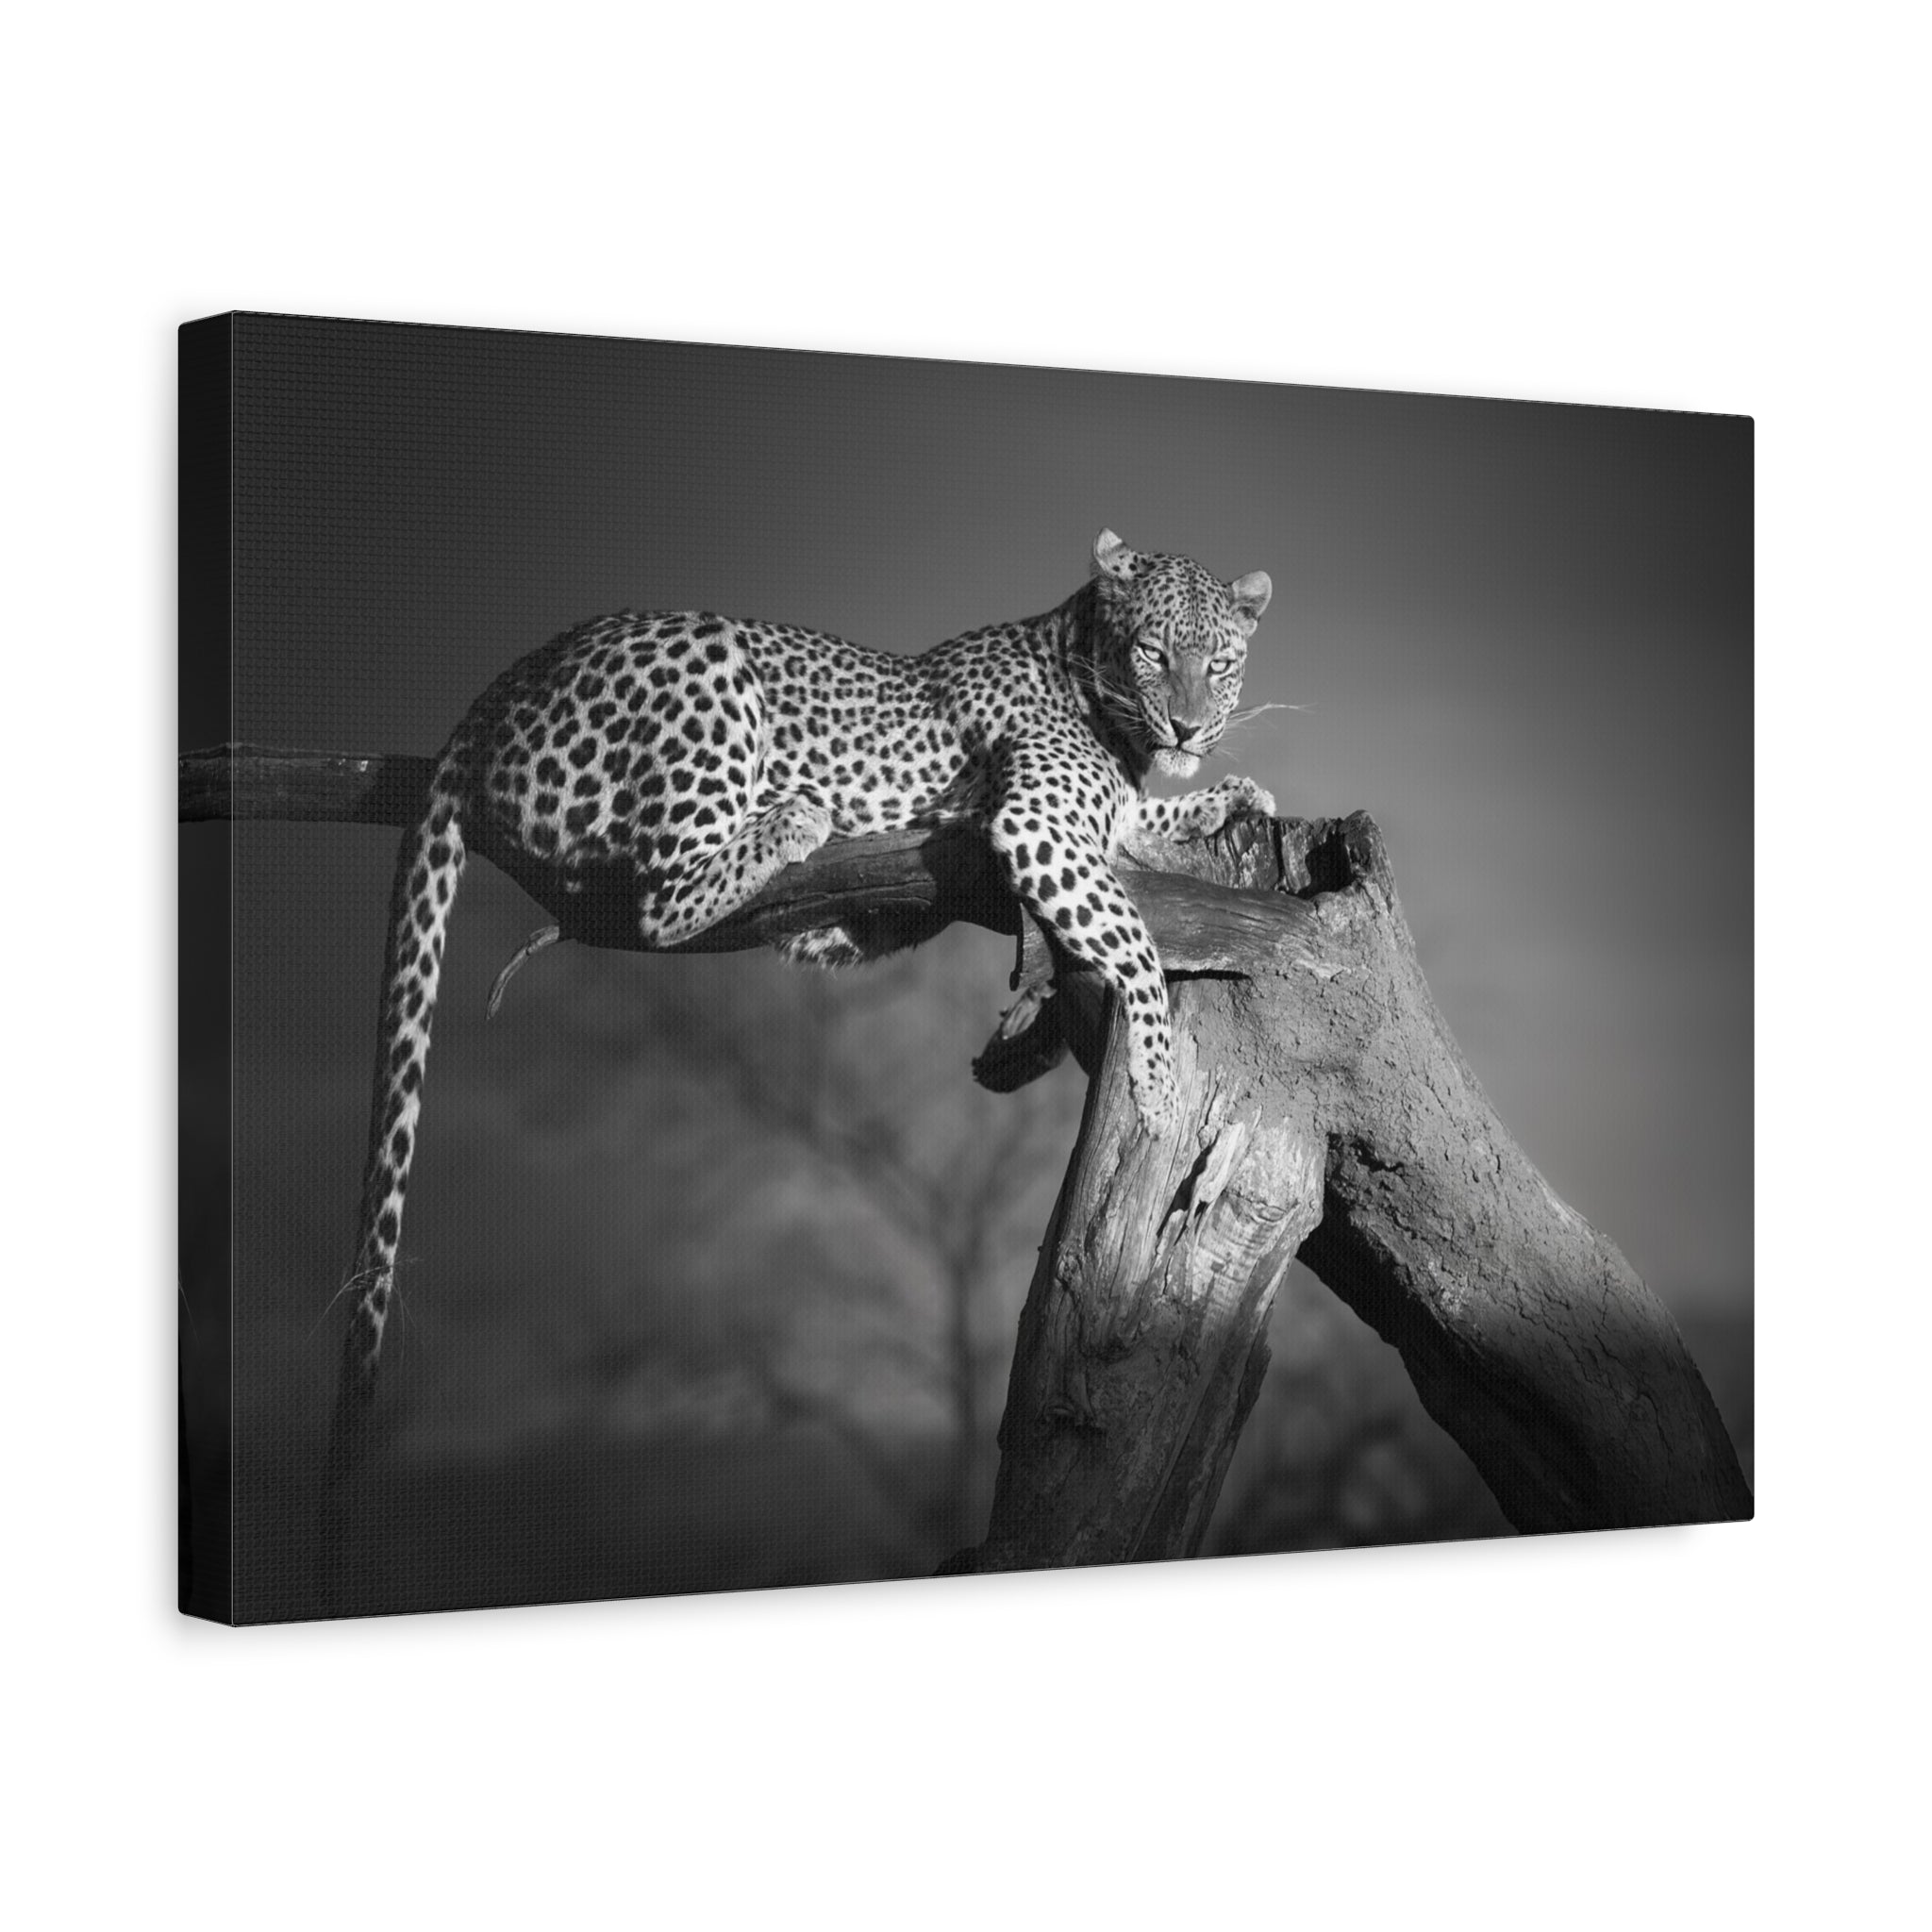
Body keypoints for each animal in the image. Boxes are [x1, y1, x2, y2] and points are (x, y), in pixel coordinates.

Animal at [329, 528, 1274, 1460]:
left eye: (1222, 663)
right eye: (1154, 653)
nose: (1190, 725)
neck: (1102, 699)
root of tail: (501, 687)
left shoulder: (1096, 826)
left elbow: (1147, 829)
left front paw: (1234, 795)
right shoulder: (1037, 824)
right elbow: (1136, 942)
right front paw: (1156, 1082)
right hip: (705, 671)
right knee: (660, 899)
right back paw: (794, 816)